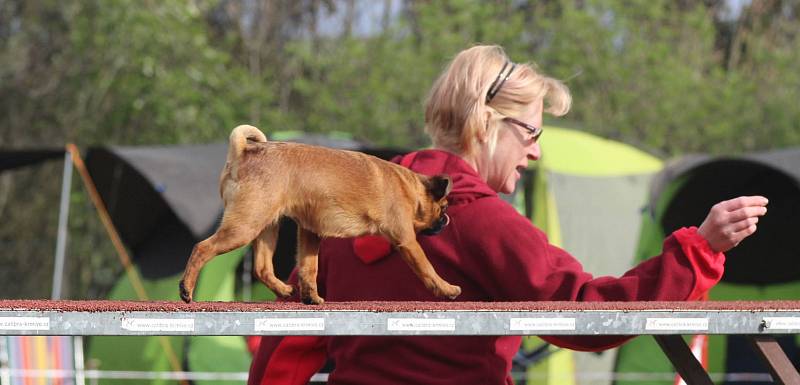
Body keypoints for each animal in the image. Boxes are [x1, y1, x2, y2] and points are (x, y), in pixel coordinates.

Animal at [177, 124, 460, 304]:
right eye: (444, 207)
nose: (446, 220)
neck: (409, 187)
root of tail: (243, 154)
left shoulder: (310, 235)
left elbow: (308, 268)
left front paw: (311, 297)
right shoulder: (407, 242)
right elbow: (427, 268)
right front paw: (446, 288)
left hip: (266, 227)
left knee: (262, 268)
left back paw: (284, 289)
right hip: (244, 227)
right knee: (202, 248)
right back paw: (186, 289)